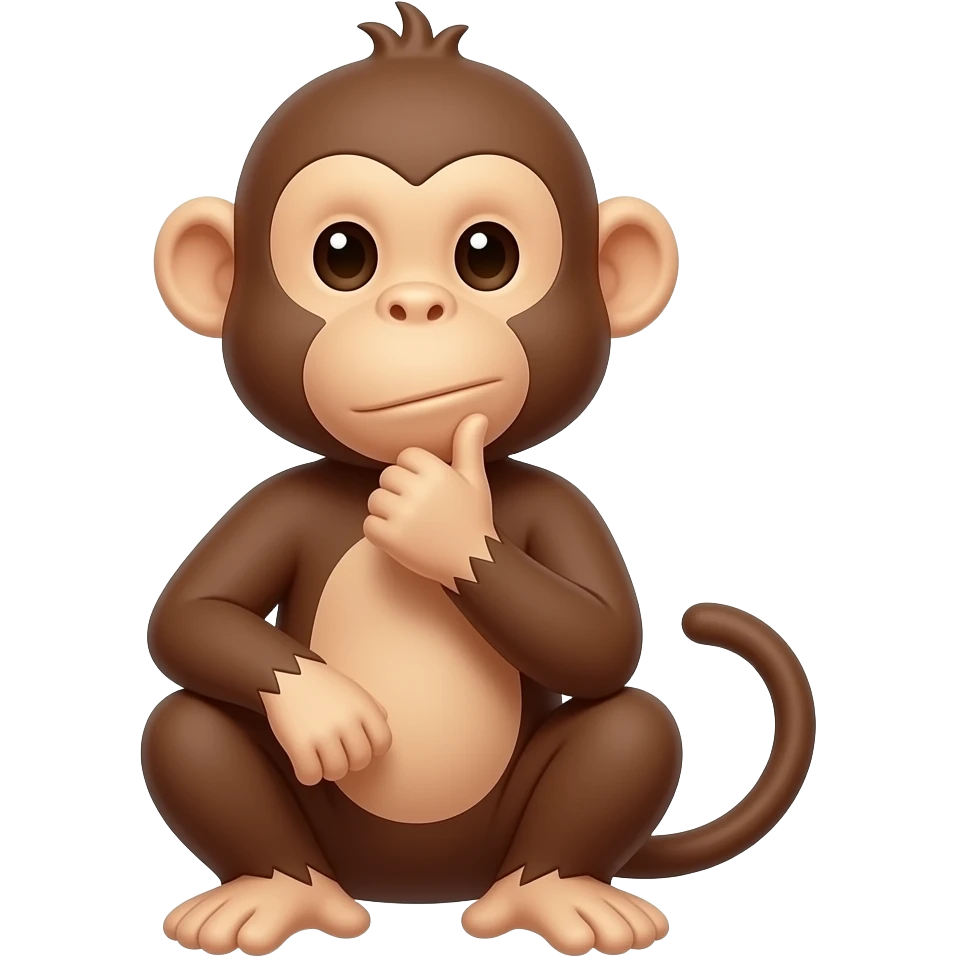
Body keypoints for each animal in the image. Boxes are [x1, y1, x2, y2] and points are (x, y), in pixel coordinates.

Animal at [145, 4, 815, 956]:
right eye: (342, 255)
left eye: (486, 255)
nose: (417, 305)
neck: (397, 460)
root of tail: (418, 887)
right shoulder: (276, 503)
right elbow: (190, 618)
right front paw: (326, 708)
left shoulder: (560, 504)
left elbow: (601, 639)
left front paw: (443, 519)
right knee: (186, 719)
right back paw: (274, 893)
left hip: (507, 834)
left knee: (632, 723)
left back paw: (558, 894)